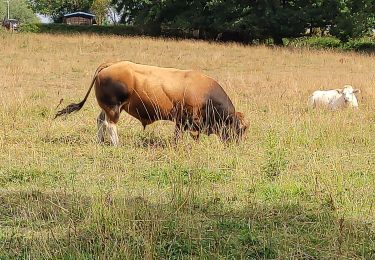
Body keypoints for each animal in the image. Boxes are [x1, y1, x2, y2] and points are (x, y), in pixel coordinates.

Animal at [55, 61, 248, 146]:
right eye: (240, 128)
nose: (237, 144)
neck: (205, 94)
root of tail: (110, 65)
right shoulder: (183, 120)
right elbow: (178, 136)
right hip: (114, 107)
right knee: (110, 124)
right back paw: (117, 144)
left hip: (109, 107)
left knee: (100, 121)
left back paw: (100, 141)